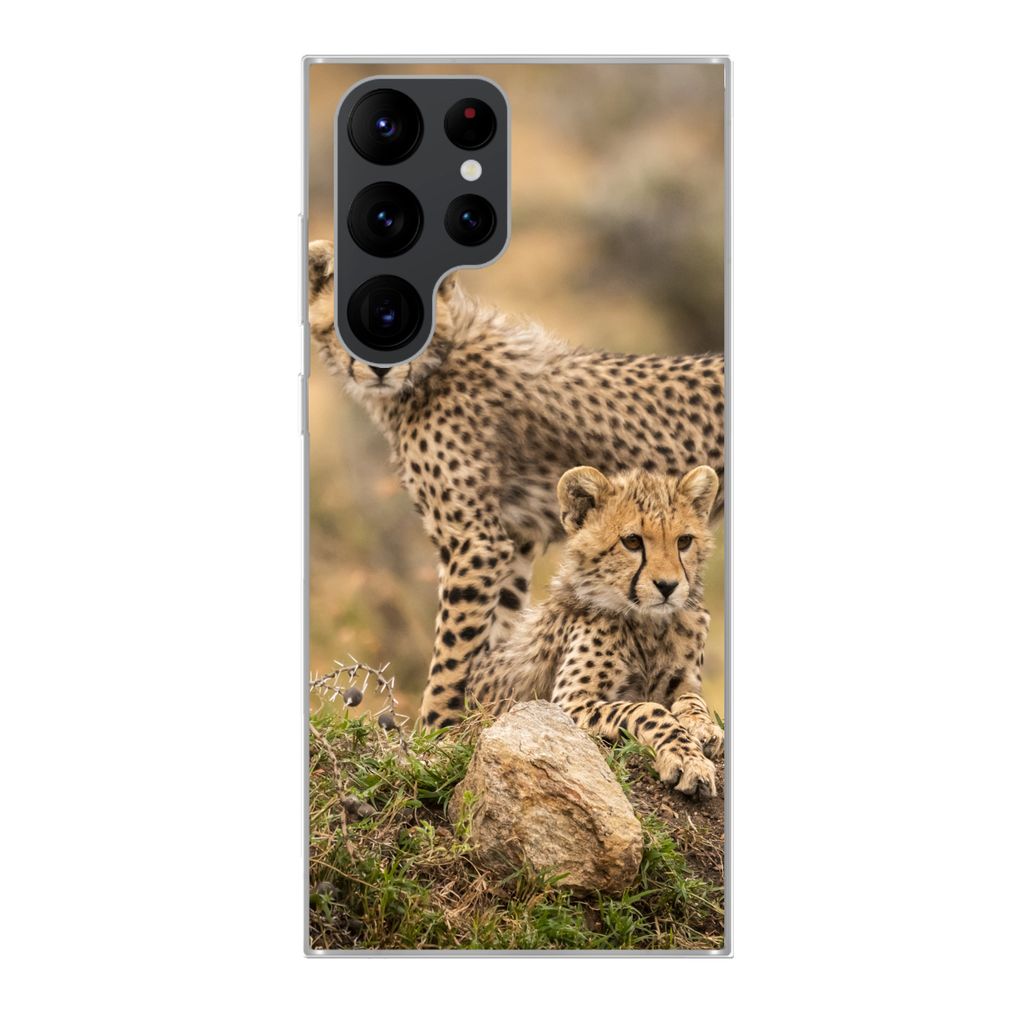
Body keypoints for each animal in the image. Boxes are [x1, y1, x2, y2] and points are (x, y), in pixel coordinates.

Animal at [307, 239, 726, 729]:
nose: (379, 368)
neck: (436, 365)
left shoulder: (475, 541)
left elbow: (453, 651)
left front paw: (434, 732)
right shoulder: (512, 538)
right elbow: (494, 636)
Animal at [465, 464, 723, 797]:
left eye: (684, 541)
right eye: (632, 541)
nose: (668, 586)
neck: (649, 626)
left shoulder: (683, 682)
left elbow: (691, 700)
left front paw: (704, 727)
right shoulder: (566, 703)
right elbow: (648, 709)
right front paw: (686, 759)